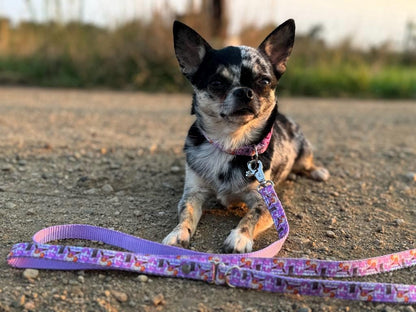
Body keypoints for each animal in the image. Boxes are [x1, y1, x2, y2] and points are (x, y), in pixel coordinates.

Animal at [162, 18, 328, 254]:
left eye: (264, 81)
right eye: (217, 83)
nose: (244, 91)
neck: (230, 143)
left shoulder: (265, 200)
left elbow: (252, 215)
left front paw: (239, 237)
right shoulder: (193, 193)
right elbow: (186, 213)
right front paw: (178, 233)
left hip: (304, 154)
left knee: (307, 163)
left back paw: (317, 171)